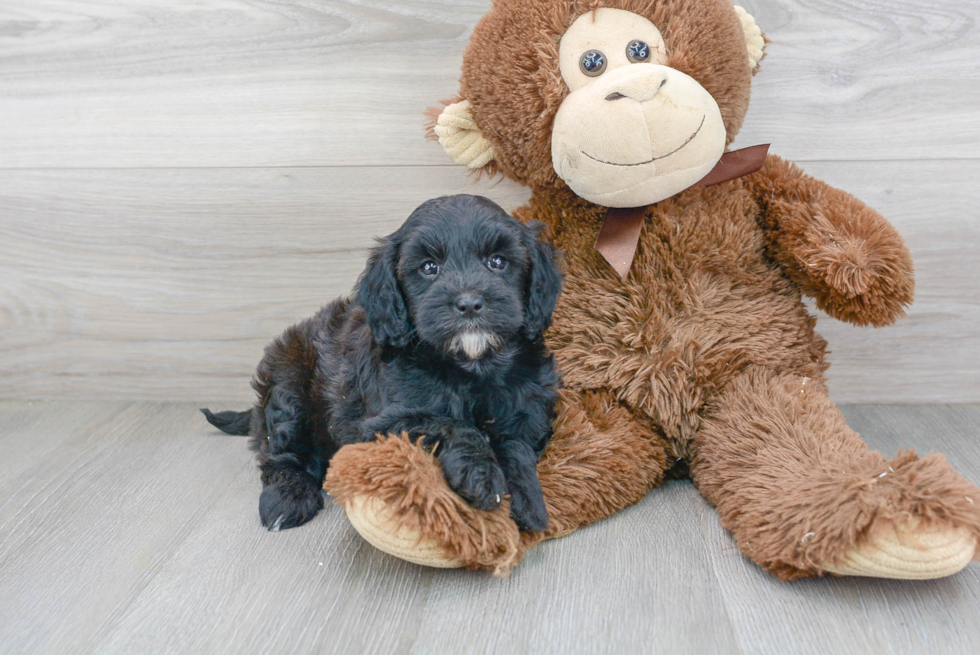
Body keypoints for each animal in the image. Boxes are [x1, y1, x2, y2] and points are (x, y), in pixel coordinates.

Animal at [203, 195, 564, 532]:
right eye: (429, 267)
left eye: (498, 262)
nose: (470, 303)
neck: (471, 365)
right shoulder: (381, 425)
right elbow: (451, 424)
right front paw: (481, 473)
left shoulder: (530, 410)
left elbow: (515, 443)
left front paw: (528, 498)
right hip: (289, 381)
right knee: (282, 451)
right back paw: (286, 499)